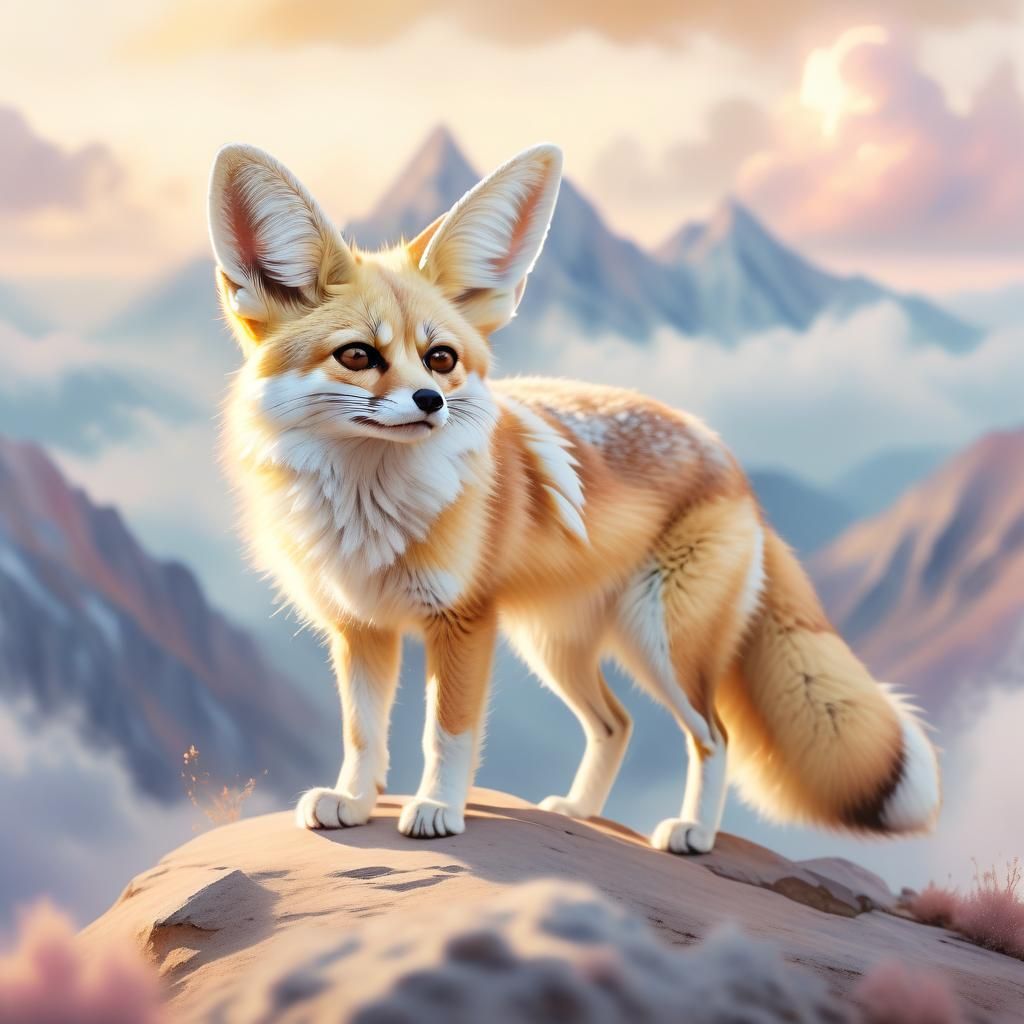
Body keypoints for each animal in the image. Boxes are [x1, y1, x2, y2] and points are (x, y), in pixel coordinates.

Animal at [206, 140, 940, 854]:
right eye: (358, 356)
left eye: (441, 359)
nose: (431, 401)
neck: (368, 515)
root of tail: (726, 457)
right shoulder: (360, 627)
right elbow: (363, 734)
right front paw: (355, 803)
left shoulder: (464, 622)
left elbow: (447, 732)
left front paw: (438, 809)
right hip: (554, 646)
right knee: (617, 723)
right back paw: (579, 813)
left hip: (661, 644)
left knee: (713, 735)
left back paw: (694, 833)